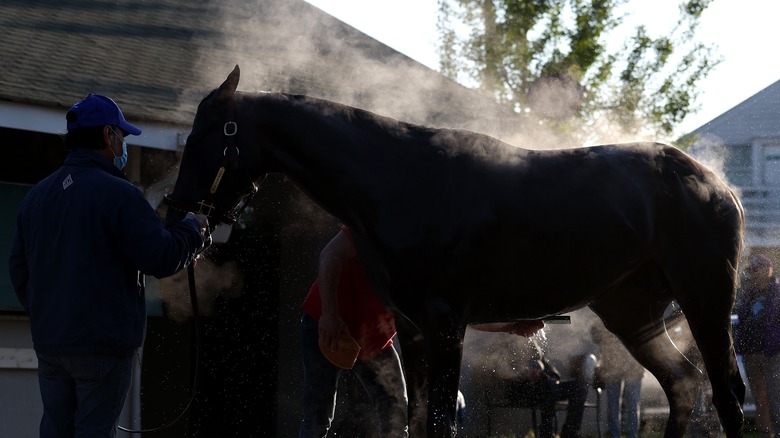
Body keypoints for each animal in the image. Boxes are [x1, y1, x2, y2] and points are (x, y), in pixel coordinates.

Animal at [166, 66, 748, 438]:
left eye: (203, 137)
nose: (176, 214)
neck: (399, 181)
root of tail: (717, 185)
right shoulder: (416, 330)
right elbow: (419, 418)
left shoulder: (447, 324)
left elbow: (441, 421)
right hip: (632, 311)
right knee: (684, 386)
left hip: (706, 298)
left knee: (726, 397)